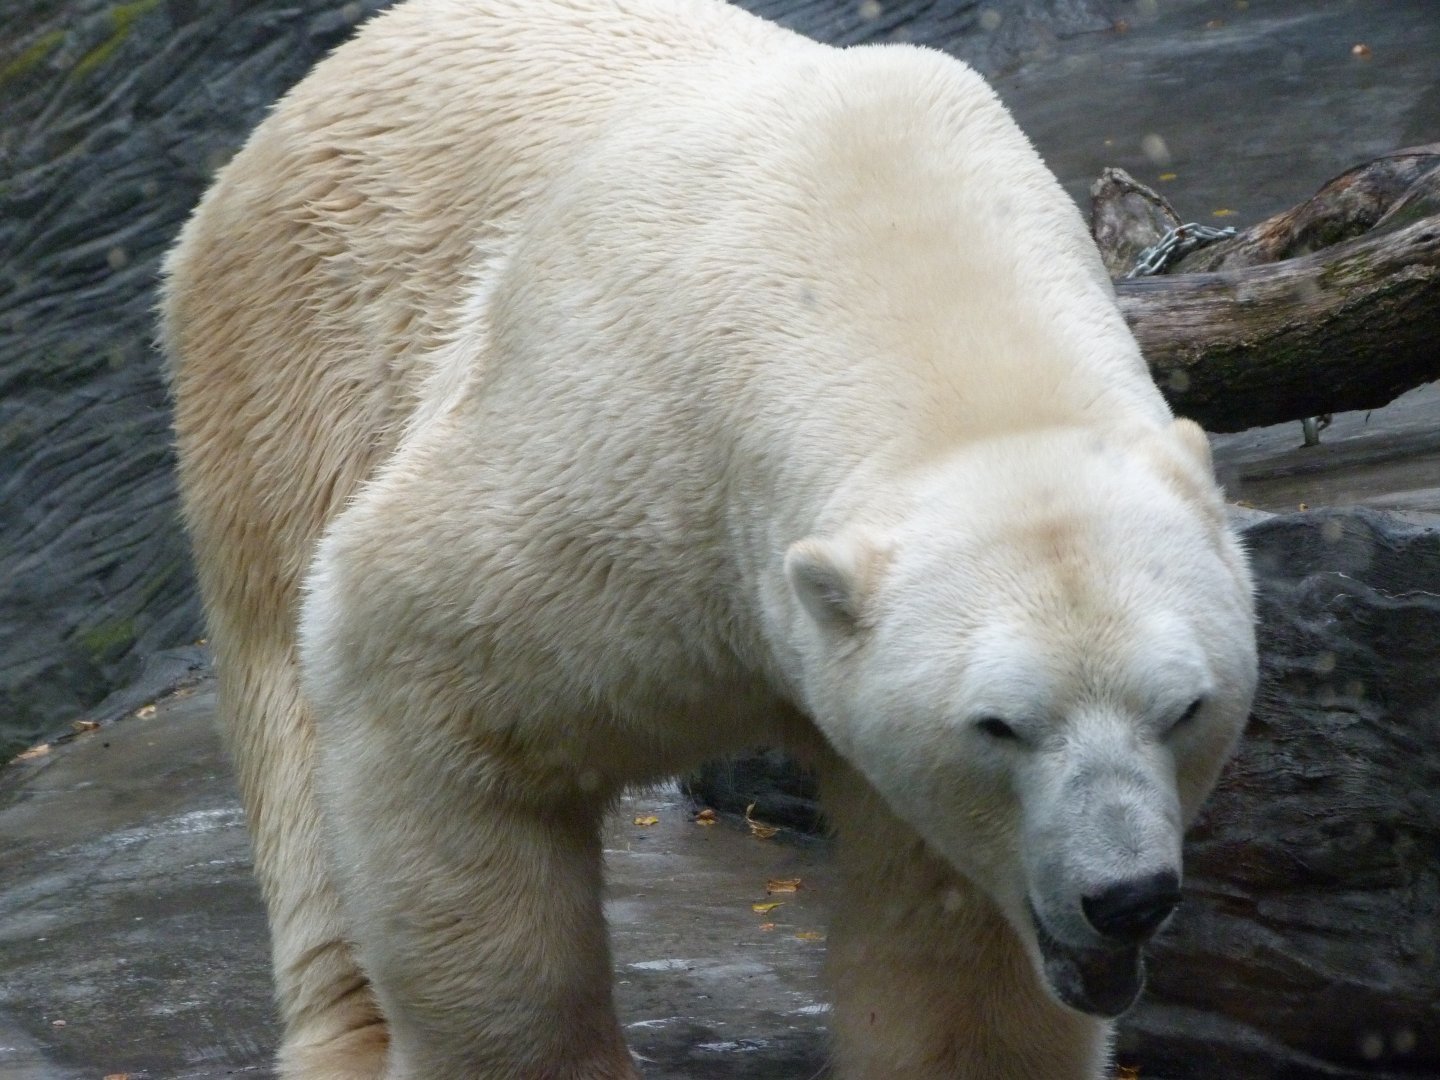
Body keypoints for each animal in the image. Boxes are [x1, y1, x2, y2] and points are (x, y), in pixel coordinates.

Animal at [160, 0, 1259, 1077]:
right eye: (998, 725)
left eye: (1185, 708)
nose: (1125, 898)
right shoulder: (620, 471)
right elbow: (415, 685)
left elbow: (955, 955)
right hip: (297, 361)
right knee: (287, 700)